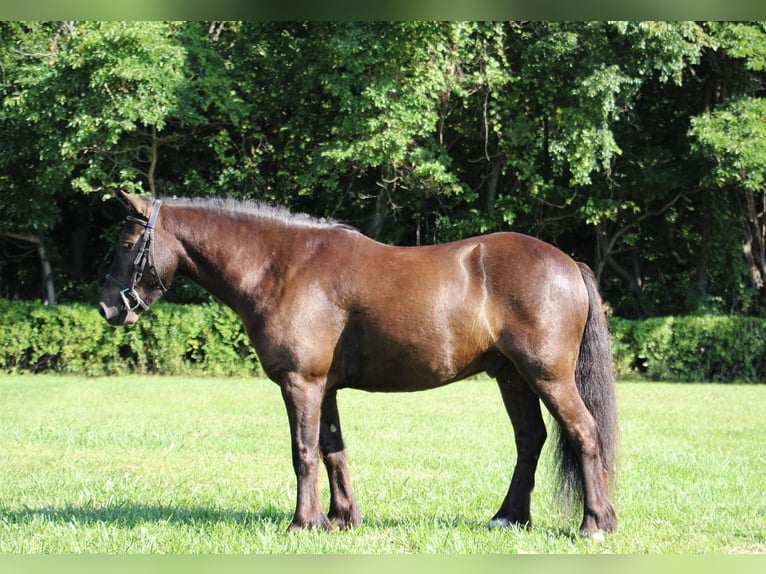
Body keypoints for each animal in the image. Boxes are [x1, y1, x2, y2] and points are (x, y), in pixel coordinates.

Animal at [99, 194, 620, 540]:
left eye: (126, 243)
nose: (108, 307)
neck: (282, 266)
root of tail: (569, 263)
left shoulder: (301, 383)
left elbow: (304, 452)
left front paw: (302, 523)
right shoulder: (324, 388)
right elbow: (333, 450)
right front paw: (340, 518)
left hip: (548, 377)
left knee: (584, 433)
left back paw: (594, 523)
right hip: (512, 377)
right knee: (530, 439)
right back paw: (509, 517)